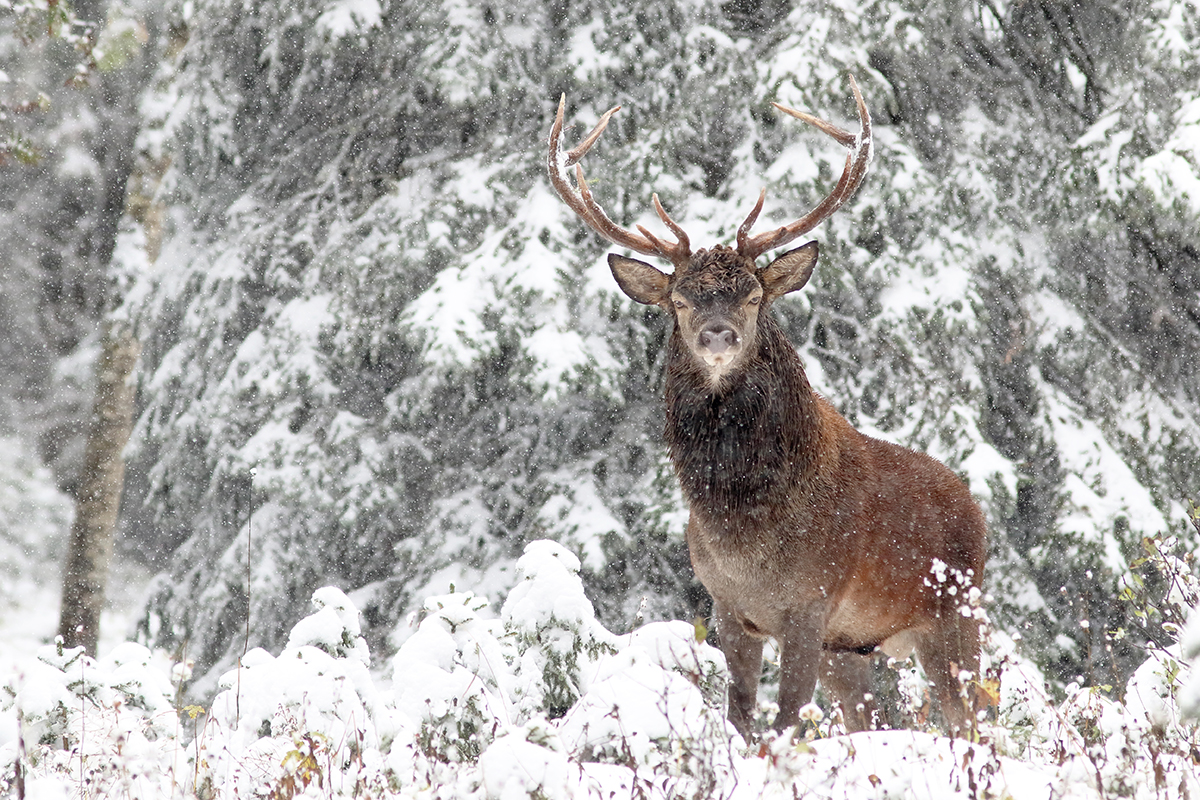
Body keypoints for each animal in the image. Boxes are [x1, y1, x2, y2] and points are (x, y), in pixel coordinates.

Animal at [549, 77, 988, 743]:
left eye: (753, 295)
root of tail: (976, 510)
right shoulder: (730, 607)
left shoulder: (809, 602)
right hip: (853, 647)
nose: (718, 334)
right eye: (680, 299)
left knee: (974, 720)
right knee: (869, 717)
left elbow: (785, 722)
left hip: (956, 616)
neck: (744, 531)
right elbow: (741, 715)